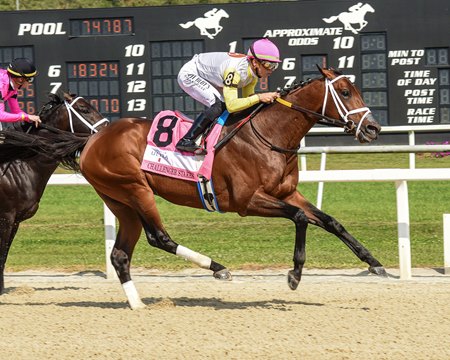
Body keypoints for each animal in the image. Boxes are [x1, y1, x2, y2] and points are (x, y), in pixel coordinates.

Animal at [0, 88, 108, 294]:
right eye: (84, 109)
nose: (109, 129)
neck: (18, 165)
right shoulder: (5, 218)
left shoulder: (15, 220)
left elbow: (5, 252)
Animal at [79, 68, 384, 310]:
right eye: (345, 92)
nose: (373, 128)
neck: (267, 135)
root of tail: (93, 140)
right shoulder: (247, 201)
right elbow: (299, 218)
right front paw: (295, 274)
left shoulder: (287, 193)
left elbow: (331, 222)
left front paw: (374, 262)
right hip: (135, 189)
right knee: (159, 237)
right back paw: (217, 268)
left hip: (121, 202)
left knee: (120, 255)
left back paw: (138, 304)